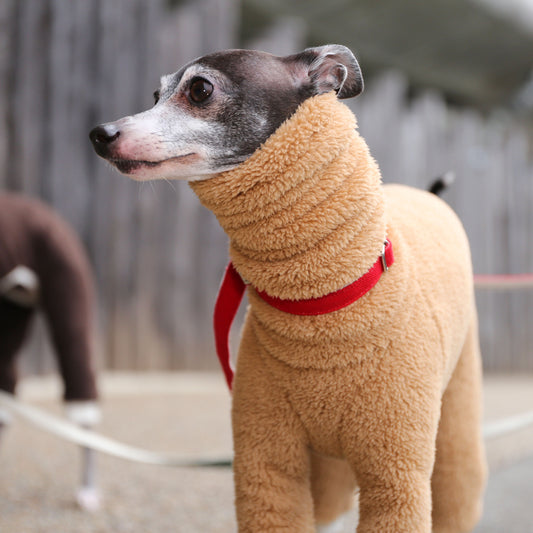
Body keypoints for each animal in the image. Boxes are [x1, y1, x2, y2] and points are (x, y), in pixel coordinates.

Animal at [90, 45, 486, 532]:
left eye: (199, 89)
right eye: (154, 94)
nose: (99, 133)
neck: (318, 310)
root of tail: (428, 195)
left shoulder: (396, 470)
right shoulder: (266, 454)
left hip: (456, 408)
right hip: (329, 465)